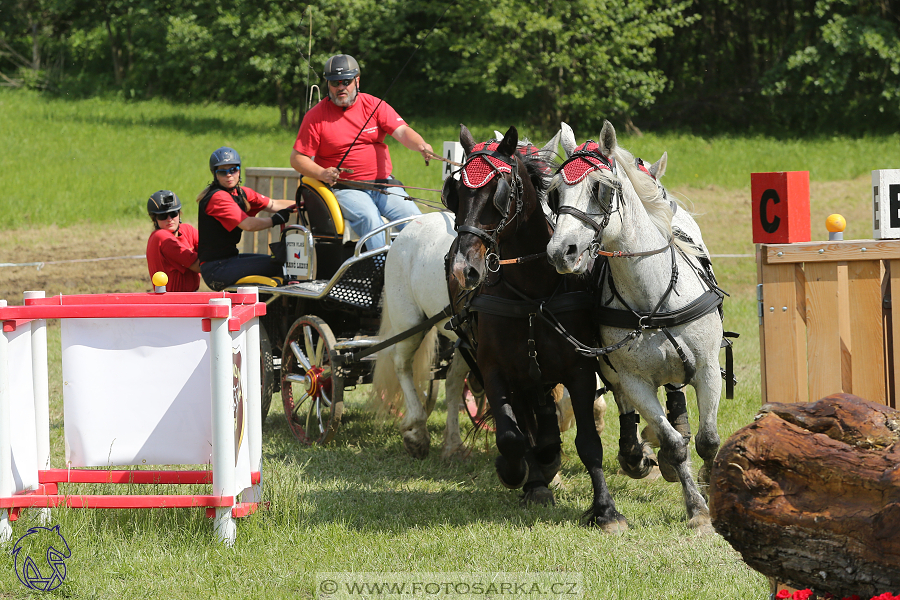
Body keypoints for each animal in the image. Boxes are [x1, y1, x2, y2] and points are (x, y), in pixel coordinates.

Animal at [540, 122, 724, 528]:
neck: (651, 298)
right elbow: (672, 443)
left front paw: (712, 489)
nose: (561, 252)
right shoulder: (635, 380)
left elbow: (707, 441)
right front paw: (696, 510)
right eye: (555, 191)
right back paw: (634, 455)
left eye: (602, 189)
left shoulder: (707, 368)